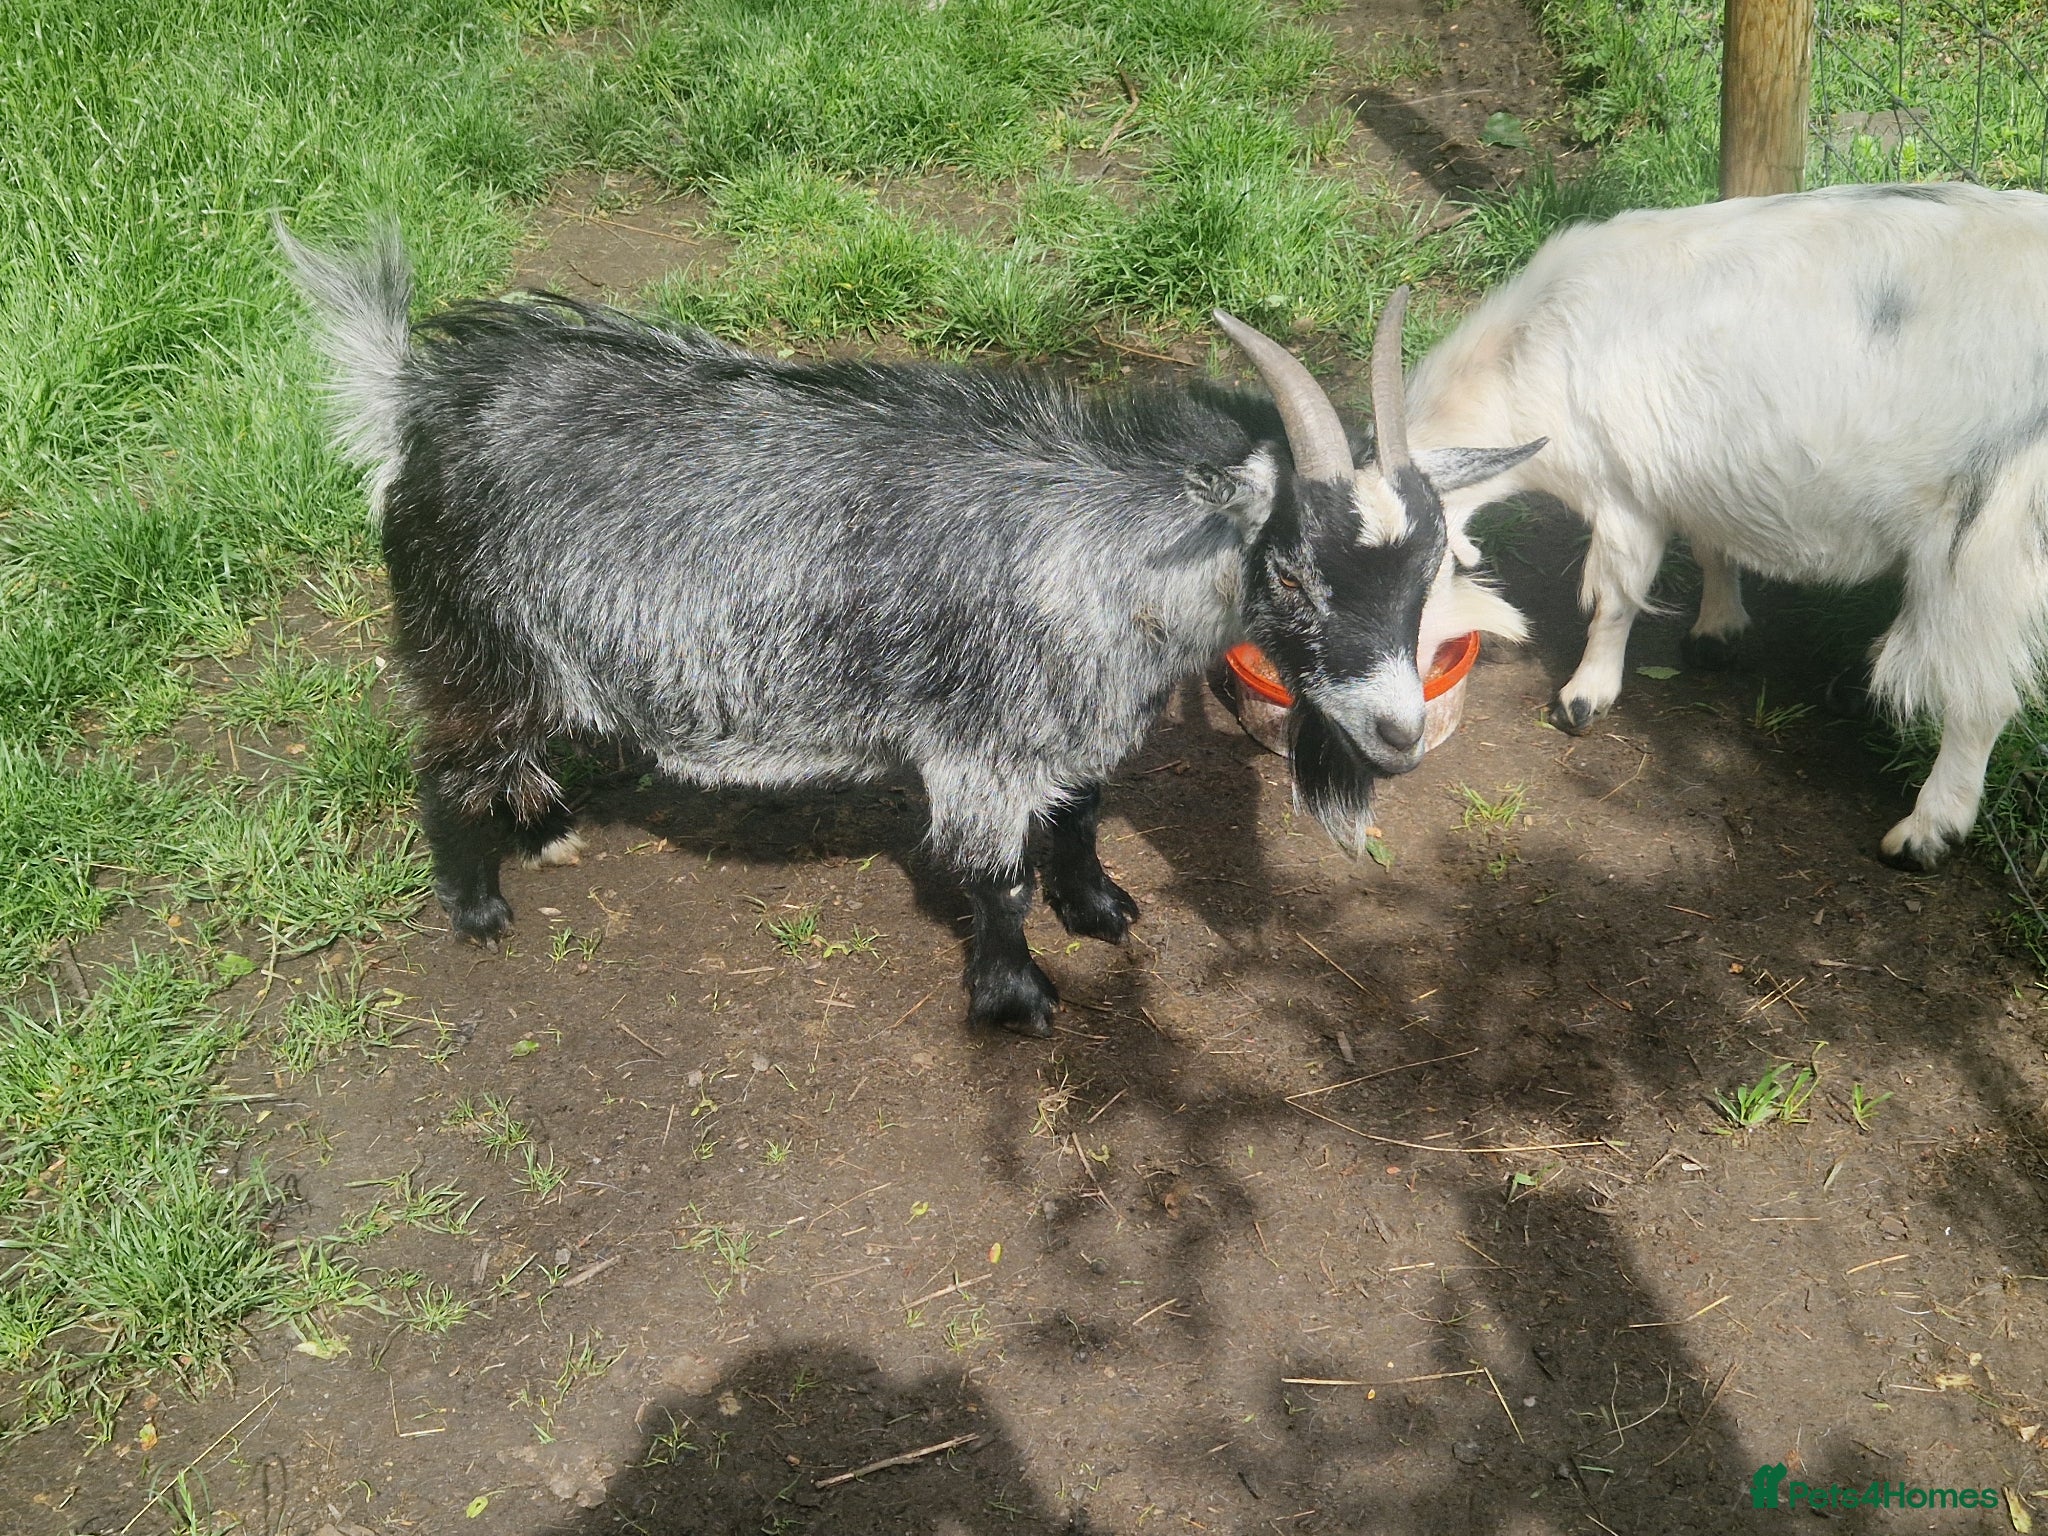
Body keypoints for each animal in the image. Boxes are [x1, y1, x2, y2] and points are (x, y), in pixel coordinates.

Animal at [280, 222, 1539, 1036]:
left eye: (1429, 563)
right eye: (1288, 569)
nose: (1397, 736)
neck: (1113, 557)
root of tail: (417, 401)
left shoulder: (1069, 726)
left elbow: (1079, 817)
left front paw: (1101, 908)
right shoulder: (978, 743)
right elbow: (1000, 879)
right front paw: (1017, 997)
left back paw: (544, 832)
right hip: (473, 640)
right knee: (444, 761)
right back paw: (479, 904)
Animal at [1404, 180, 2048, 870]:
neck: (1526, 352)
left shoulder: (1624, 491)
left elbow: (1615, 598)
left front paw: (1584, 697)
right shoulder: (1698, 473)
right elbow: (1713, 547)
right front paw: (1717, 630)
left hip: (1988, 535)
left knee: (1982, 696)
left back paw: (1925, 832)